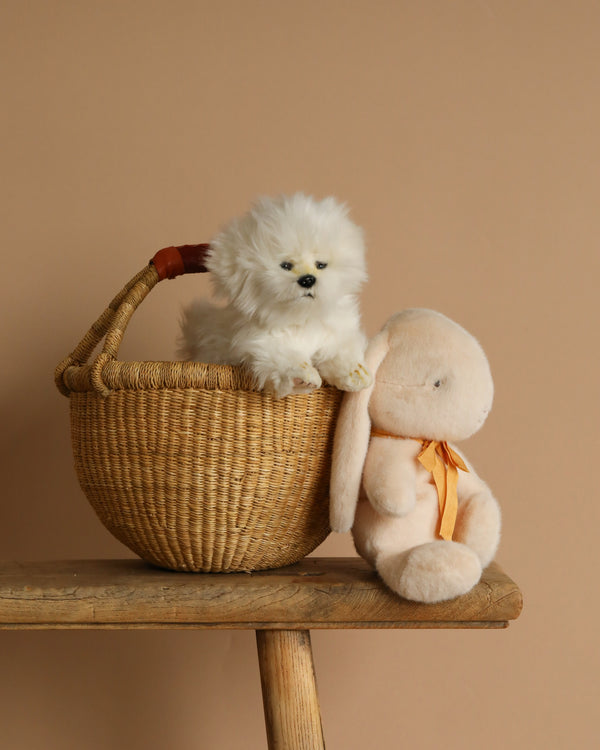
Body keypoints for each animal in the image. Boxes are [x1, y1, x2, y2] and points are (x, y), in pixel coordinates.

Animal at [178, 194, 372, 400]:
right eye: (286, 265)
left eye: (321, 265)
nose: (307, 280)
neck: (302, 318)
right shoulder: (265, 343)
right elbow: (287, 359)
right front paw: (303, 378)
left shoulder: (336, 334)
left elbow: (342, 353)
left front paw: (357, 374)